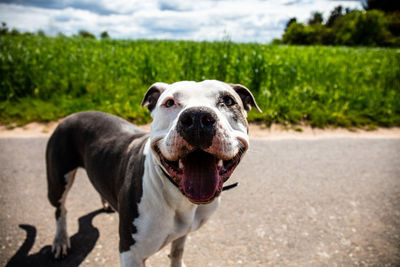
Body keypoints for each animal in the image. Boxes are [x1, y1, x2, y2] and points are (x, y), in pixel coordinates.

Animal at [46, 80, 260, 266]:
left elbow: (176, 252)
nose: (198, 117)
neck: (178, 197)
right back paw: (60, 240)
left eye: (228, 101)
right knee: (60, 209)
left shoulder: (182, 234)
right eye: (170, 102)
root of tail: (71, 115)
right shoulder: (131, 253)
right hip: (57, 181)